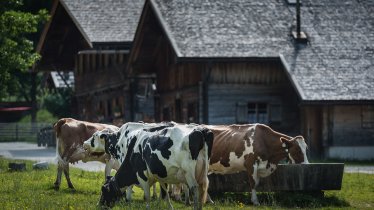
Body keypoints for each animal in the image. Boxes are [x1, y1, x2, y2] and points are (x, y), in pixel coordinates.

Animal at [85, 122, 213, 209]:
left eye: (104, 190)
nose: (98, 205)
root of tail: (201, 130)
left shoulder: (141, 174)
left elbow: (144, 195)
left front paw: (128, 200)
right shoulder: (160, 174)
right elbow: (164, 192)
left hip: (189, 173)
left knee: (195, 190)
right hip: (202, 173)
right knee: (203, 190)